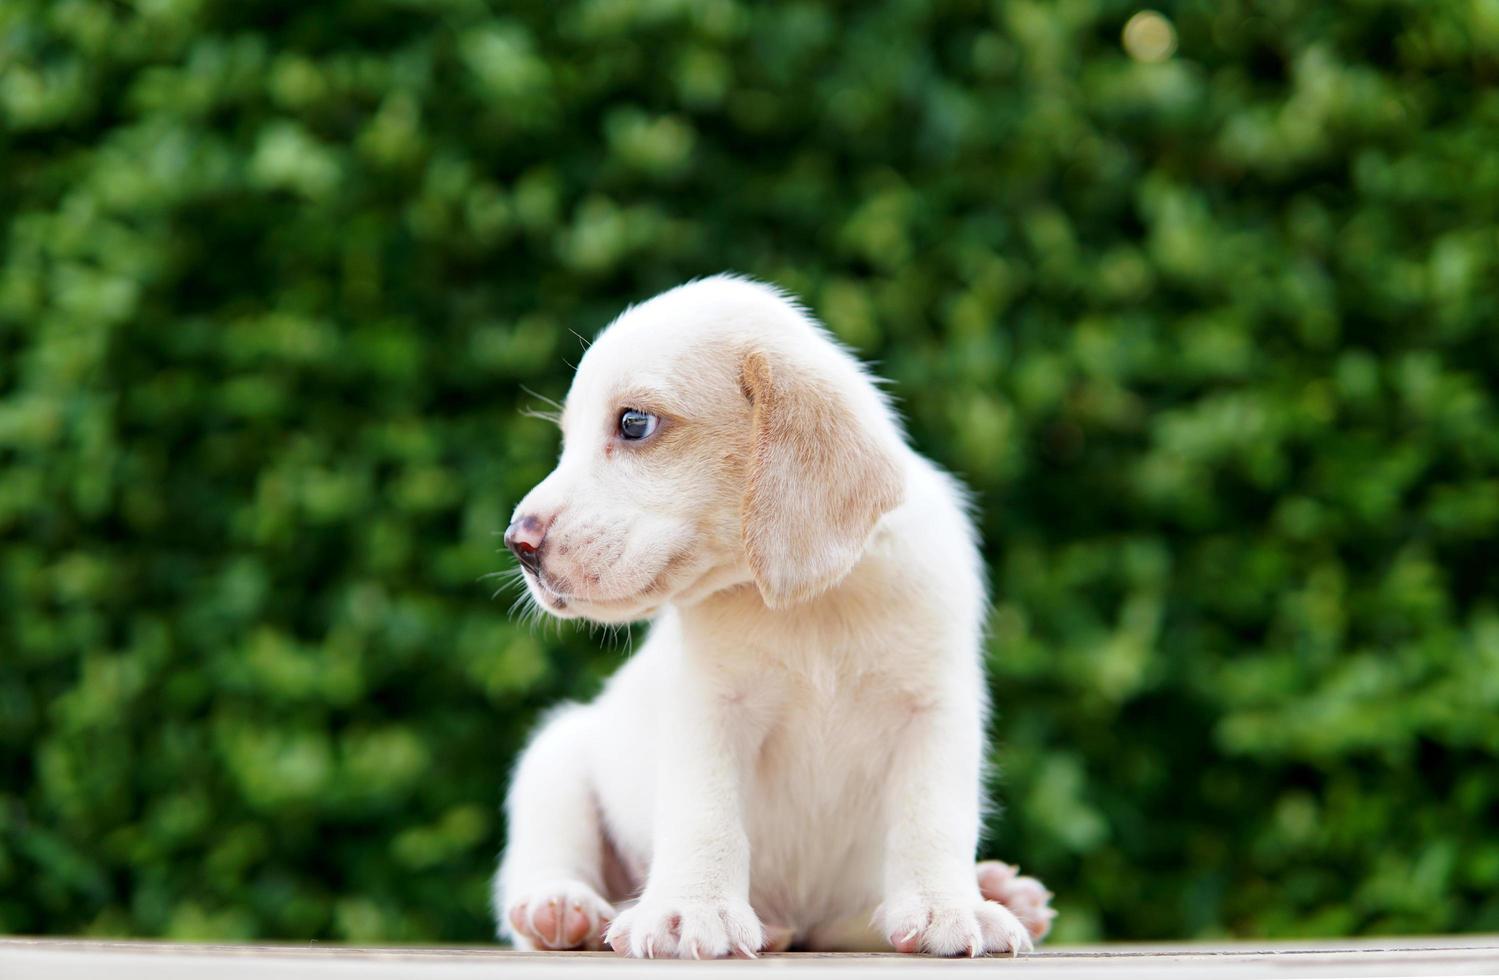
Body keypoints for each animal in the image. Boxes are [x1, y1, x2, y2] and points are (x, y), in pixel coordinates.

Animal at [491, 275, 1055, 959]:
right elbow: (705, 816)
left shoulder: (935, 710)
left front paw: (949, 906)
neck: (812, 605)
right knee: (546, 862)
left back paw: (999, 891)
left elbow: (932, 819)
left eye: (633, 423)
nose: (518, 543)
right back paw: (560, 907)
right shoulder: (709, 710)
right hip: (556, 755)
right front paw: (691, 909)